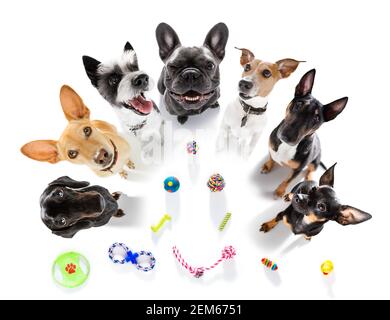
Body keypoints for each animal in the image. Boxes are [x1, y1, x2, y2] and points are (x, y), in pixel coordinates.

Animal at [262, 70, 348, 198]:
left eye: (316, 119)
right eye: (298, 104)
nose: (287, 137)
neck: (286, 147)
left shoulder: (298, 169)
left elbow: (288, 180)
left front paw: (280, 191)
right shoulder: (271, 147)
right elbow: (271, 157)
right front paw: (267, 166)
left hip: (315, 160)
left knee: (311, 170)